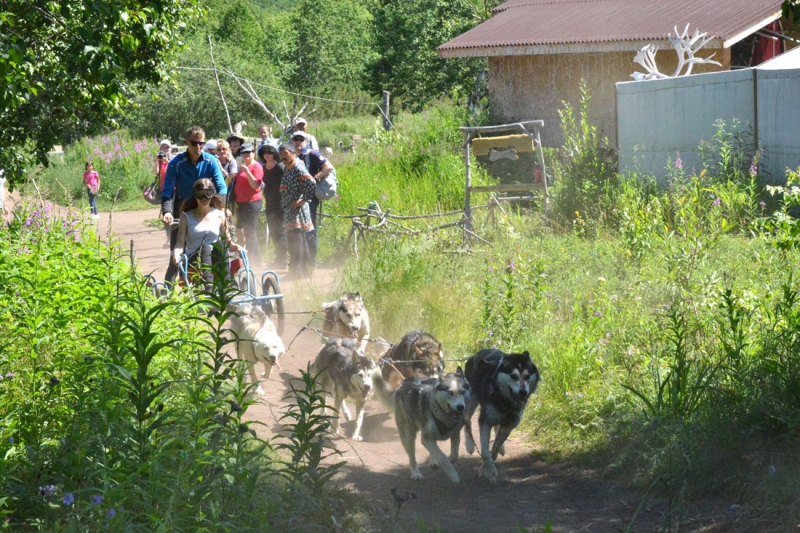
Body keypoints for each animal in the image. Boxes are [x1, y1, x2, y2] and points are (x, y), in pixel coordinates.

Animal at [466, 348, 540, 484]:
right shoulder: (485, 420)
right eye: (513, 376)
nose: (523, 393)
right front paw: (488, 471)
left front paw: (487, 467)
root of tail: (475, 355)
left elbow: (494, 449)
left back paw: (501, 447)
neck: (504, 400)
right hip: (470, 402)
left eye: (527, 376)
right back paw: (469, 445)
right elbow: (485, 452)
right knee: (467, 421)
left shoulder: (510, 424)